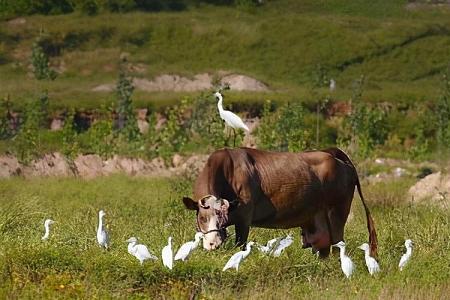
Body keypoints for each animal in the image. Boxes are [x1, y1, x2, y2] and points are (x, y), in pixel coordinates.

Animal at [182, 146, 376, 256]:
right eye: (202, 218)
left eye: (223, 218)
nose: (212, 243)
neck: (227, 171)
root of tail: (333, 154)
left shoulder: (244, 219)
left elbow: (240, 245)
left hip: (337, 213)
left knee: (337, 245)